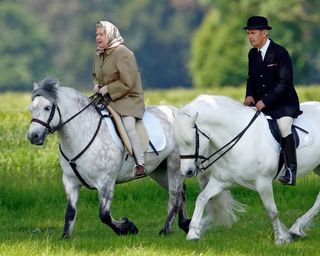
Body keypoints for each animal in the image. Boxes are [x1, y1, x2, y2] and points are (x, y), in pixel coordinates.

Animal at [27, 78, 190, 238]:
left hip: (174, 165)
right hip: (159, 170)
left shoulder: (106, 182)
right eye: (31, 109)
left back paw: (165, 230)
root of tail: (177, 112)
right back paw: (184, 225)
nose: (33, 136)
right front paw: (65, 236)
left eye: (47, 107)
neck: (83, 133)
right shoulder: (70, 182)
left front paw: (127, 227)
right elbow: (70, 212)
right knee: (180, 191)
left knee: (174, 196)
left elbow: (104, 215)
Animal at [174, 94, 320, 244]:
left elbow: (272, 211)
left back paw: (295, 229)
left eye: (189, 142)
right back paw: (296, 229)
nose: (187, 172)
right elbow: (201, 199)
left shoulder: (263, 182)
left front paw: (281, 238)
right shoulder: (221, 181)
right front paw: (192, 233)